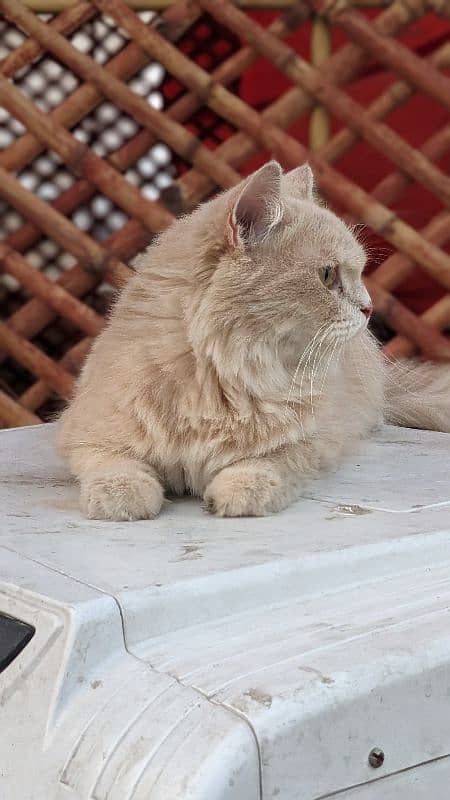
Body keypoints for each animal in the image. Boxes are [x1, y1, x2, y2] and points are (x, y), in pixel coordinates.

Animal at [59, 163, 450, 524]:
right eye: (327, 276)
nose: (368, 308)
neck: (219, 375)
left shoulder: (315, 439)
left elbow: (269, 461)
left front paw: (240, 490)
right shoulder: (87, 430)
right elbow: (113, 462)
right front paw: (121, 494)